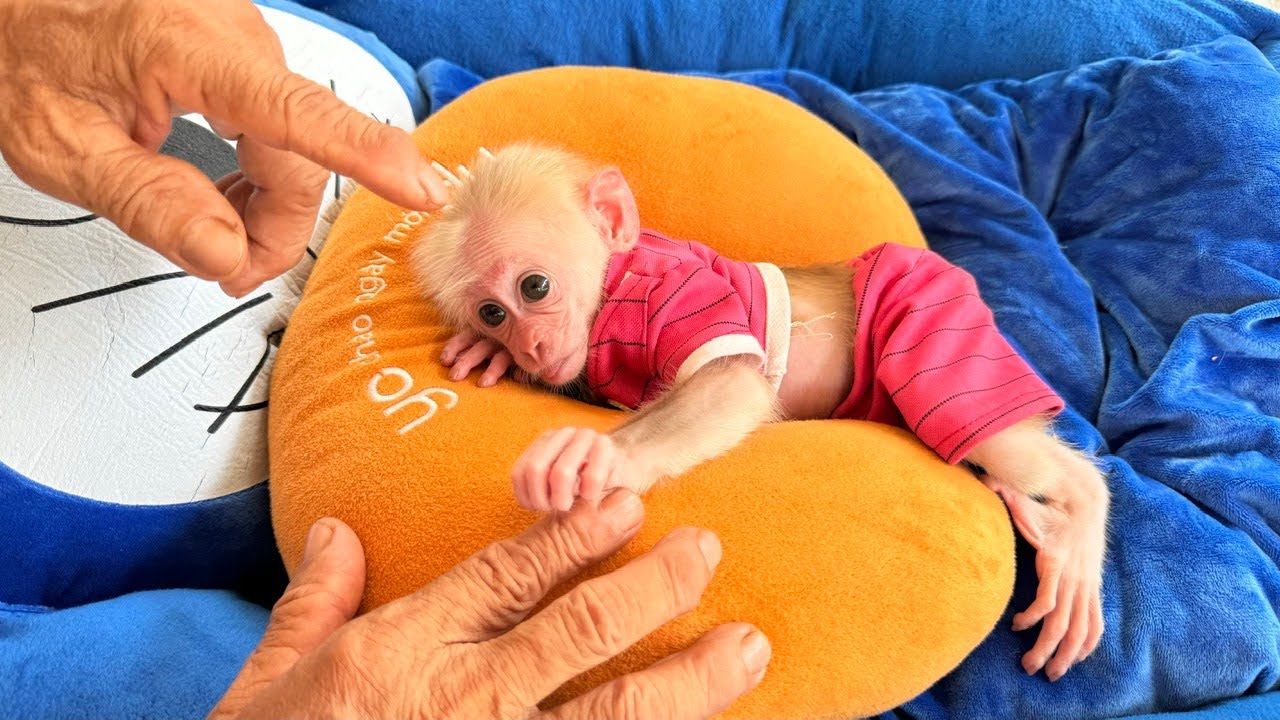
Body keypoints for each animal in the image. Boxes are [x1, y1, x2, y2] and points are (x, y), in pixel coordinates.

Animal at [410, 142, 1108, 681]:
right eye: (492, 312)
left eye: (535, 287)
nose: (528, 344)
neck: (610, 293)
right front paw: (491, 354)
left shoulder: (667, 288)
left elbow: (733, 383)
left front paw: (604, 454)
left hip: (929, 310)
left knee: (974, 421)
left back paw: (1076, 513)